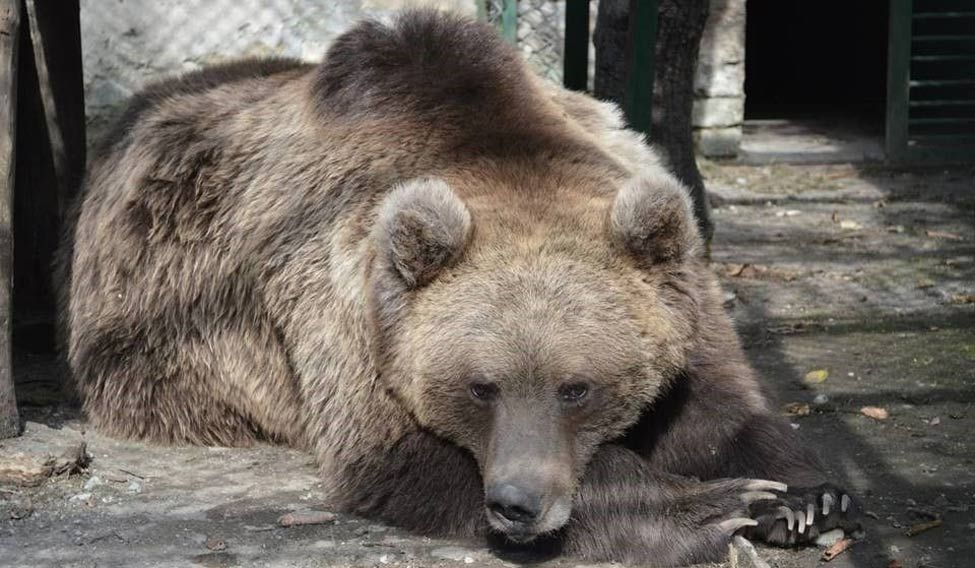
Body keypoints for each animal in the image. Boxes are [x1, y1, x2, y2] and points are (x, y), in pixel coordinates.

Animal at [59, 10, 860, 568]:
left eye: (577, 386)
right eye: (481, 385)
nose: (515, 505)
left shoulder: (678, 288)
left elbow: (716, 406)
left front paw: (803, 495)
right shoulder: (344, 300)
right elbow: (393, 455)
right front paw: (712, 513)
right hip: (147, 341)